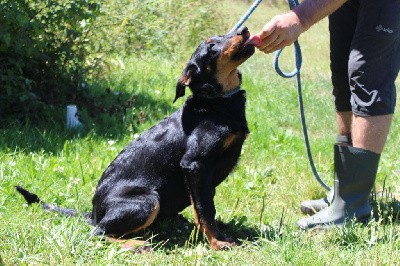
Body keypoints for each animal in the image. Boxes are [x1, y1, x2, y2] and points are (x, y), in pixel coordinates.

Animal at [16, 26, 256, 250]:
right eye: (211, 46)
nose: (244, 30)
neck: (216, 102)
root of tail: (93, 214)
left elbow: (204, 203)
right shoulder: (195, 164)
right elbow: (205, 208)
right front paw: (218, 242)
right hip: (148, 200)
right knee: (98, 233)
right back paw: (137, 245)